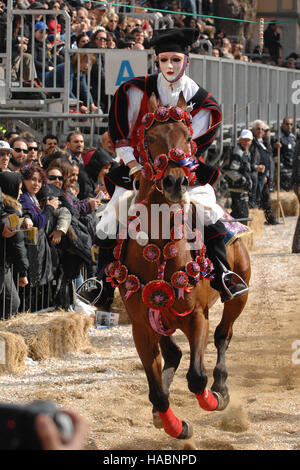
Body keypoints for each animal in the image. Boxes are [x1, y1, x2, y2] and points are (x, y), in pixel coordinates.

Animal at [112, 92, 251, 440]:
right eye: (149, 138)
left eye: (188, 137)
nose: (175, 181)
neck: (161, 249)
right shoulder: (141, 326)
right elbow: (156, 392)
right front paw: (176, 426)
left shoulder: (196, 317)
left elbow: (197, 378)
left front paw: (213, 399)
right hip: (161, 318)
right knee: (174, 354)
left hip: (238, 296)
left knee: (223, 335)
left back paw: (222, 387)